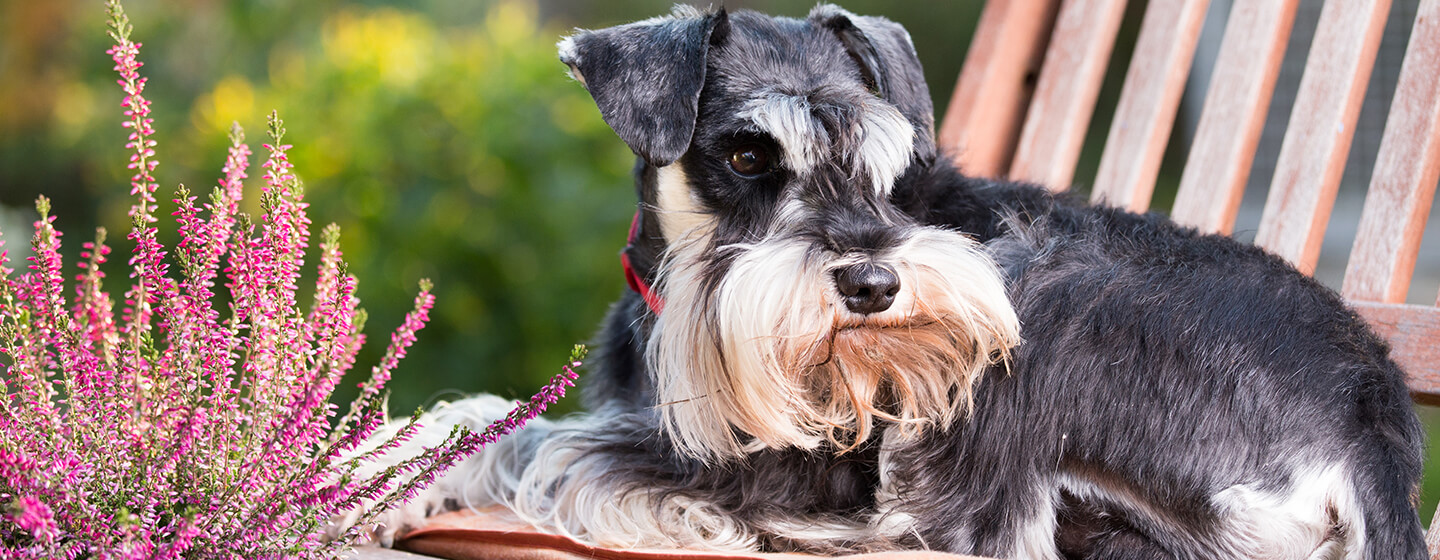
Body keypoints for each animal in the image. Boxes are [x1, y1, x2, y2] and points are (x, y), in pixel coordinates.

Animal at [339, 5, 1428, 558]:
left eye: (887, 155)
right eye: (746, 153)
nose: (869, 283)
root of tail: (1375, 426)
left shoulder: (775, 460)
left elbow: (538, 440)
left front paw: (386, 478)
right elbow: (505, 415)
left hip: (1041, 304)